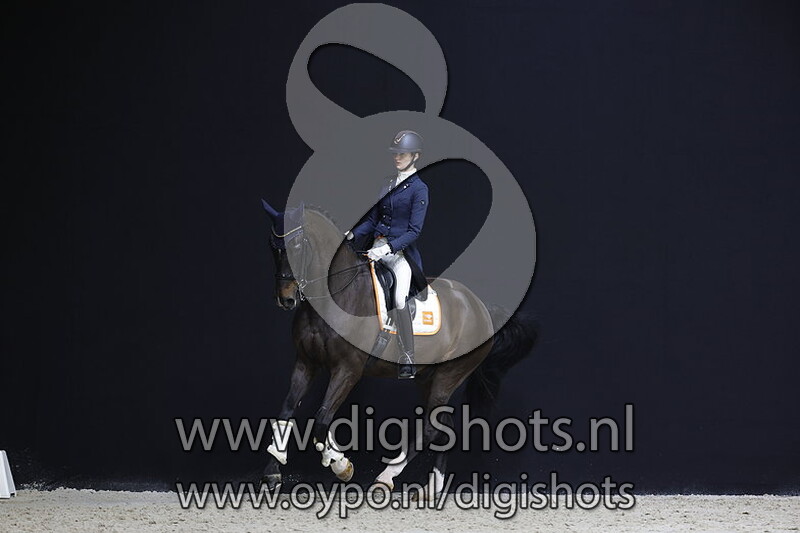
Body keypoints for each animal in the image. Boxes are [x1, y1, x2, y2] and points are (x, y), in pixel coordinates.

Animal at [259, 201, 538, 498]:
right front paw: (273, 473)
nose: (286, 299)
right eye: (272, 246)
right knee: (444, 429)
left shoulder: (348, 369)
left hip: (449, 375)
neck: (334, 296)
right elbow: (287, 412)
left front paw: (341, 465)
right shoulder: (305, 362)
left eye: (297, 244)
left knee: (430, 429)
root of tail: (480, 307)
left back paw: (386, 477)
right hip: (428, 377)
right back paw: (431, 489)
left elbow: (322, 418)